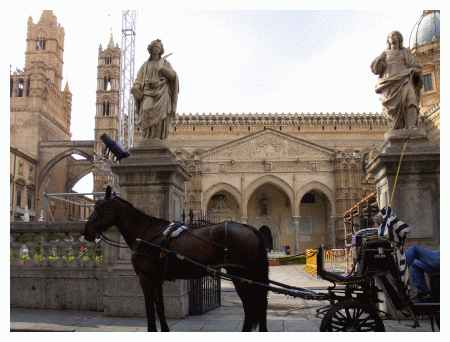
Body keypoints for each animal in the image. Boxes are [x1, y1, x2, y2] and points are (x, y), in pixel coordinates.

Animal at [83, 187, 268, 332]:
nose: (86, 231)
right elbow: (160, 306)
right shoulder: (157, 279)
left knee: (251, 305)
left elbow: (149, 307)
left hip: (242, 276)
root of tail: (251, 228)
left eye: (99, 208)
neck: (147, 232)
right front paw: (164, 329)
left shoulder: (145, 277)